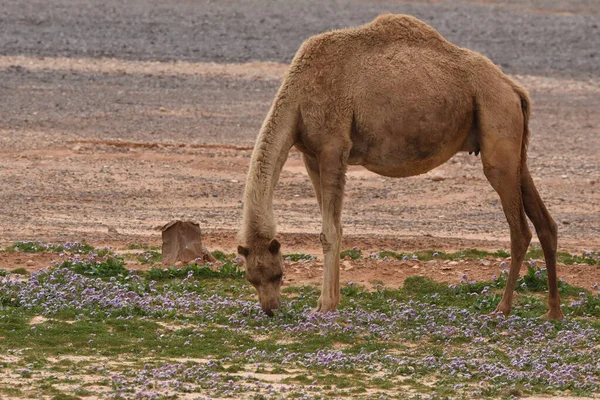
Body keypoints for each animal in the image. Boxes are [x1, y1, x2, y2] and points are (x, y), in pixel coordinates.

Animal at [236, 14, 564, 318]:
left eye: (278, 274)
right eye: (251, 278)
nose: (271, 308)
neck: (298, 100)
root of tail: (515, 90)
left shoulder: (333, 147)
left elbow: (329, 231)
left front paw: (325, 305)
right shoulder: (311, 156)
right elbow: (335, 227)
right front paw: (331, 301)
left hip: (497, 124)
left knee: (519, 229)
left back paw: (502, 308)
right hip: (514, 146)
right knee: (544, 222)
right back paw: (553, 311)